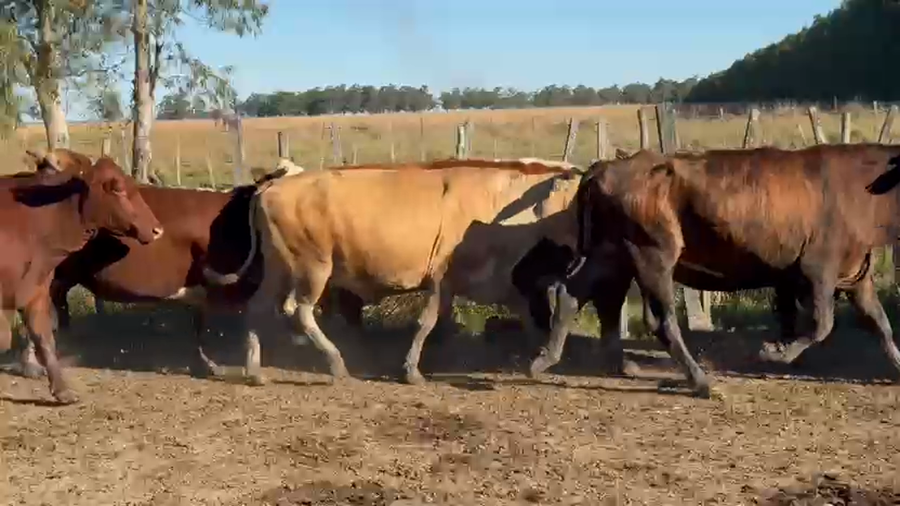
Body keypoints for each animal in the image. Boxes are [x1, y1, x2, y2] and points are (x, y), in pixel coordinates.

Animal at [201, 160, 585, 386]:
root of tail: (273, 184)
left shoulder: (503, 282)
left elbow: (530, 318)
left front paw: (538, 359)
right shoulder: (442, 279)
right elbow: (426, 323)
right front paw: (411, 370)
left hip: (280, 268)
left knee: (257, 309)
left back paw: (254, 370)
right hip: (313, 267)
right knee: (301, 311)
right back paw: (336, 364)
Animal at [532, 144, 900, 398]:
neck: (858, 189)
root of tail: (604, 167)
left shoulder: (856, 276)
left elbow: (880, 323)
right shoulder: (817, 271)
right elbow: (822, 325)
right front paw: (775, 353)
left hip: (611, 255)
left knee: (575, 295)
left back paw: (554, 360)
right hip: (652, 255)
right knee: (660, 320)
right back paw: (700, 381)